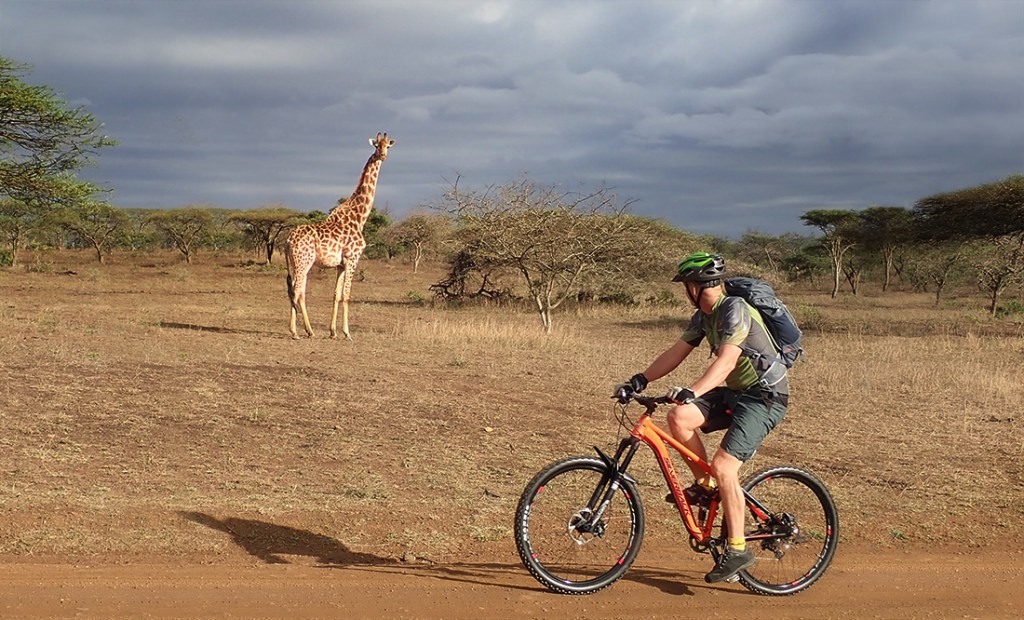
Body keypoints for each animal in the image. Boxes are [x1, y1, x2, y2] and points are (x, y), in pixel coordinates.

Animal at [284, 131, 395, 340]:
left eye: (388, 146)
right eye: (376, 146)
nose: (383, 156)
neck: (360, 217)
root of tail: (287, 241)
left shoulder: (341, 264)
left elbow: (336, 294)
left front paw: (333, 331)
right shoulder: (353, 258)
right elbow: (347, 295)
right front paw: (347, 332)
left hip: (295, 263)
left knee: (295, 289)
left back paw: (303, 330)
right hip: (304, 262)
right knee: (297, 290)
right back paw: (300, 332)